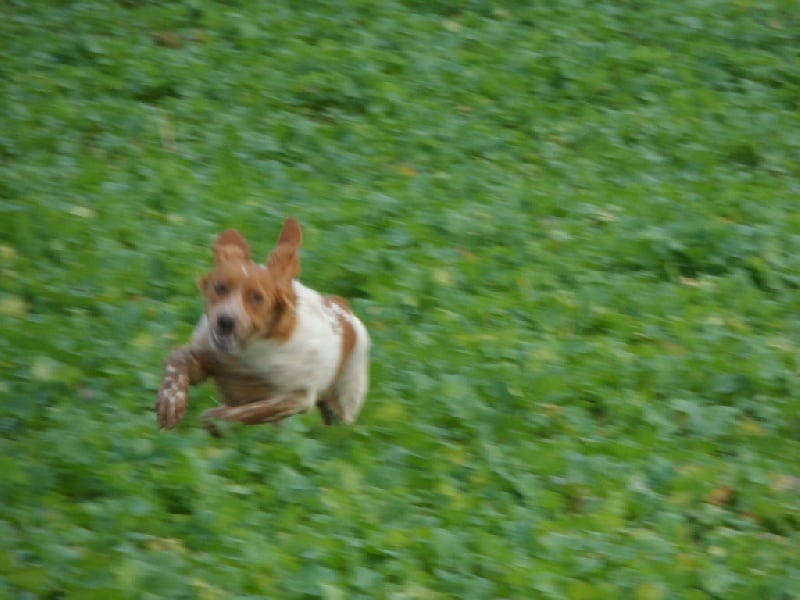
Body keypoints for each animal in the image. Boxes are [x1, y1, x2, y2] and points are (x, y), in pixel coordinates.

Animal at [156, 217, 370, 436]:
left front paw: (215, 419)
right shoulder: (207, 359)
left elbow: (246, 412)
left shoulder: (296, 398)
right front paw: (171, 403)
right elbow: (177, 360)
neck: (246, 352)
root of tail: (342, 305)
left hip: (343, 400)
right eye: (220, 287)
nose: (225, 321)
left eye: (257, 297)